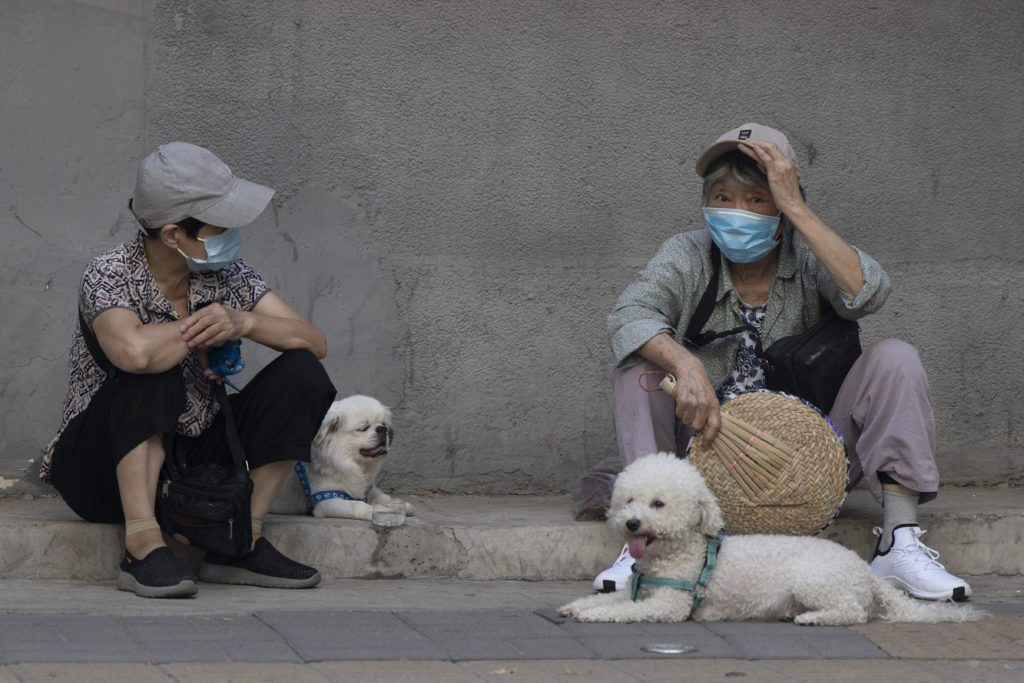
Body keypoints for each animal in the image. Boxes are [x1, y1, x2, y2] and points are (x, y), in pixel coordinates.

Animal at [272, 393, 415, 520]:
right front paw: (386, 512)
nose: (382, 429)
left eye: (384, 425)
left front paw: (399, 504)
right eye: (363, 428)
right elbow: (359, 505)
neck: (353, 465)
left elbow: (382, 496)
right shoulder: (326, 501)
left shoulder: (366, 489)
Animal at [561, 454, 983, 626]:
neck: (684, 553)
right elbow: (612, 598)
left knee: (853, 612)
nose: (632, 523)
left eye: (658, 504)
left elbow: (622, 610)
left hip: (814, 581)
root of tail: (867, 573)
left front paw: (591, 614)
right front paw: (576, 606)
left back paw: (812, 619)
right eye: (628, 500)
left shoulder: (668, 605)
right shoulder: (642, 590)